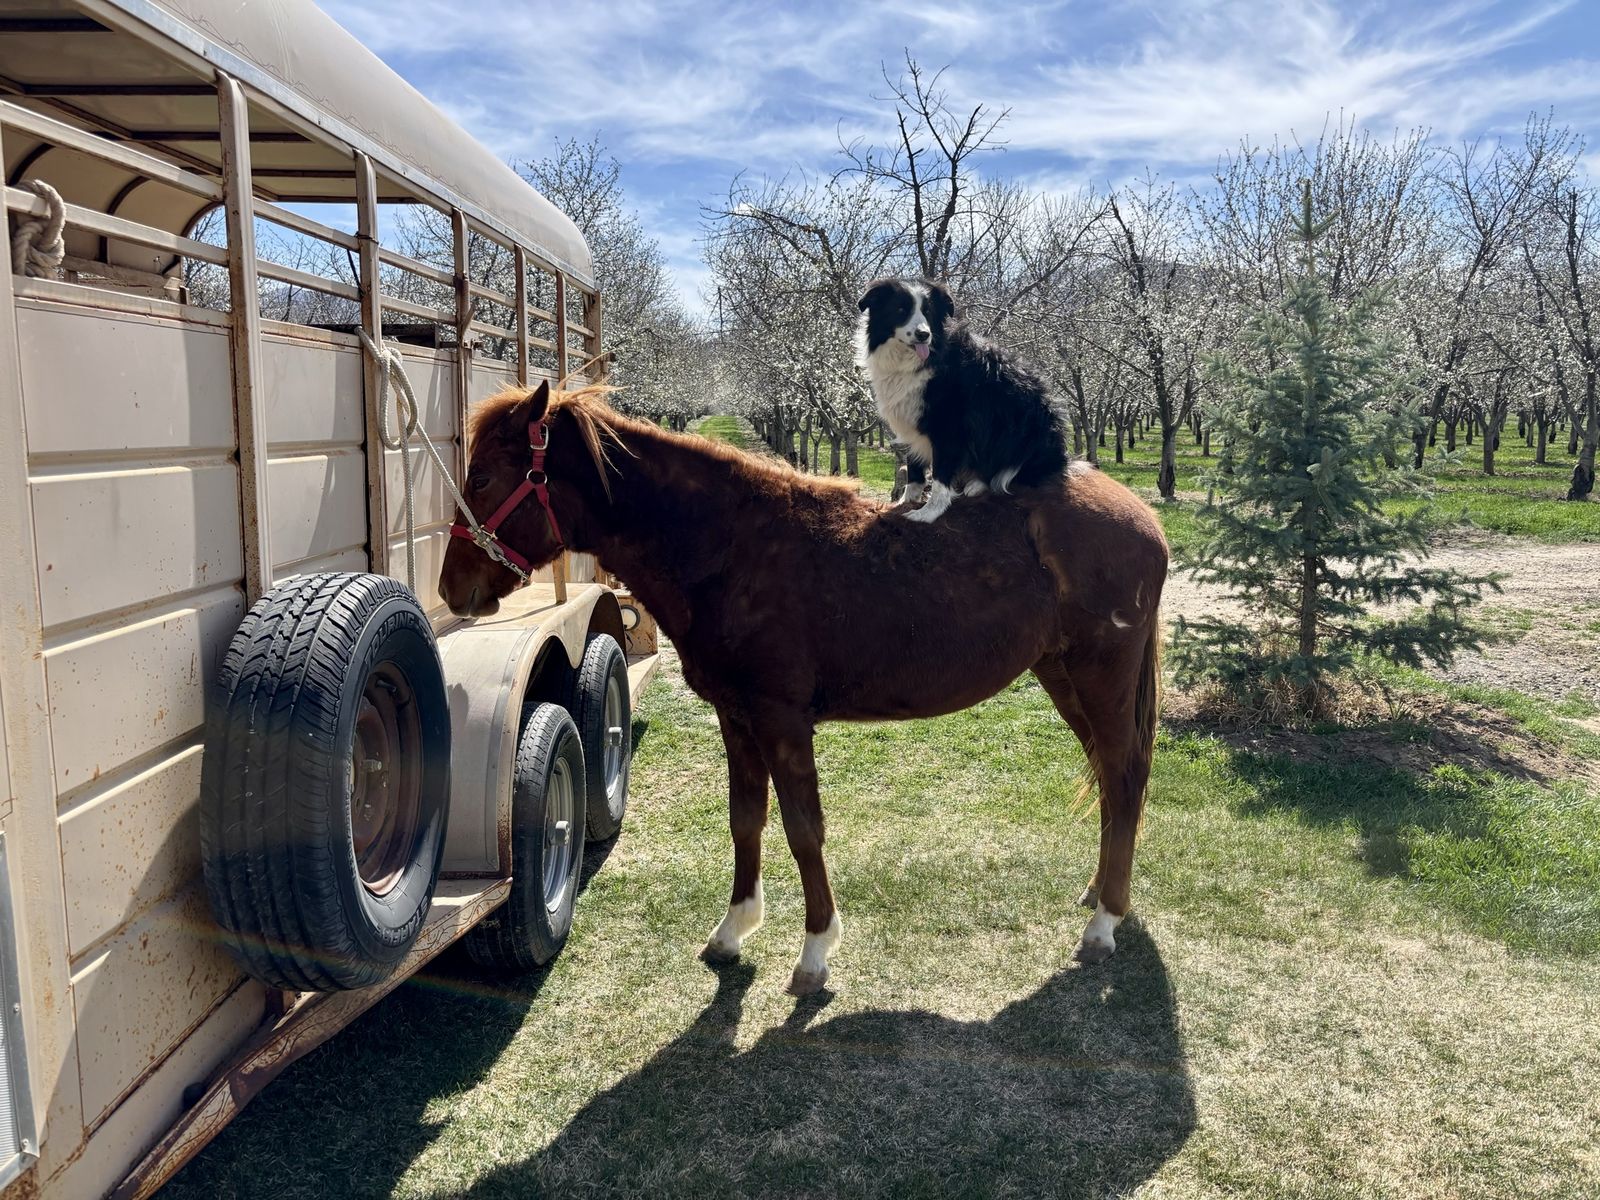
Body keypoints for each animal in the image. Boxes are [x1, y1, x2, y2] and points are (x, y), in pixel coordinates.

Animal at [439, 380, 1169, 995]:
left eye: (483, 476)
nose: (452, 587)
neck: (729, 545)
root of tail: (1143, 518)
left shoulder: (782, 720)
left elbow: (803, 829)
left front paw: (815, 951)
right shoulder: (736, 718)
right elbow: (747, 820)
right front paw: (734, 928)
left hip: (1101, 675)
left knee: (1124, 775)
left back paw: (1104, 921)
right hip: (1061, 674)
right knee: (1109, 778)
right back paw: (1100, 891)